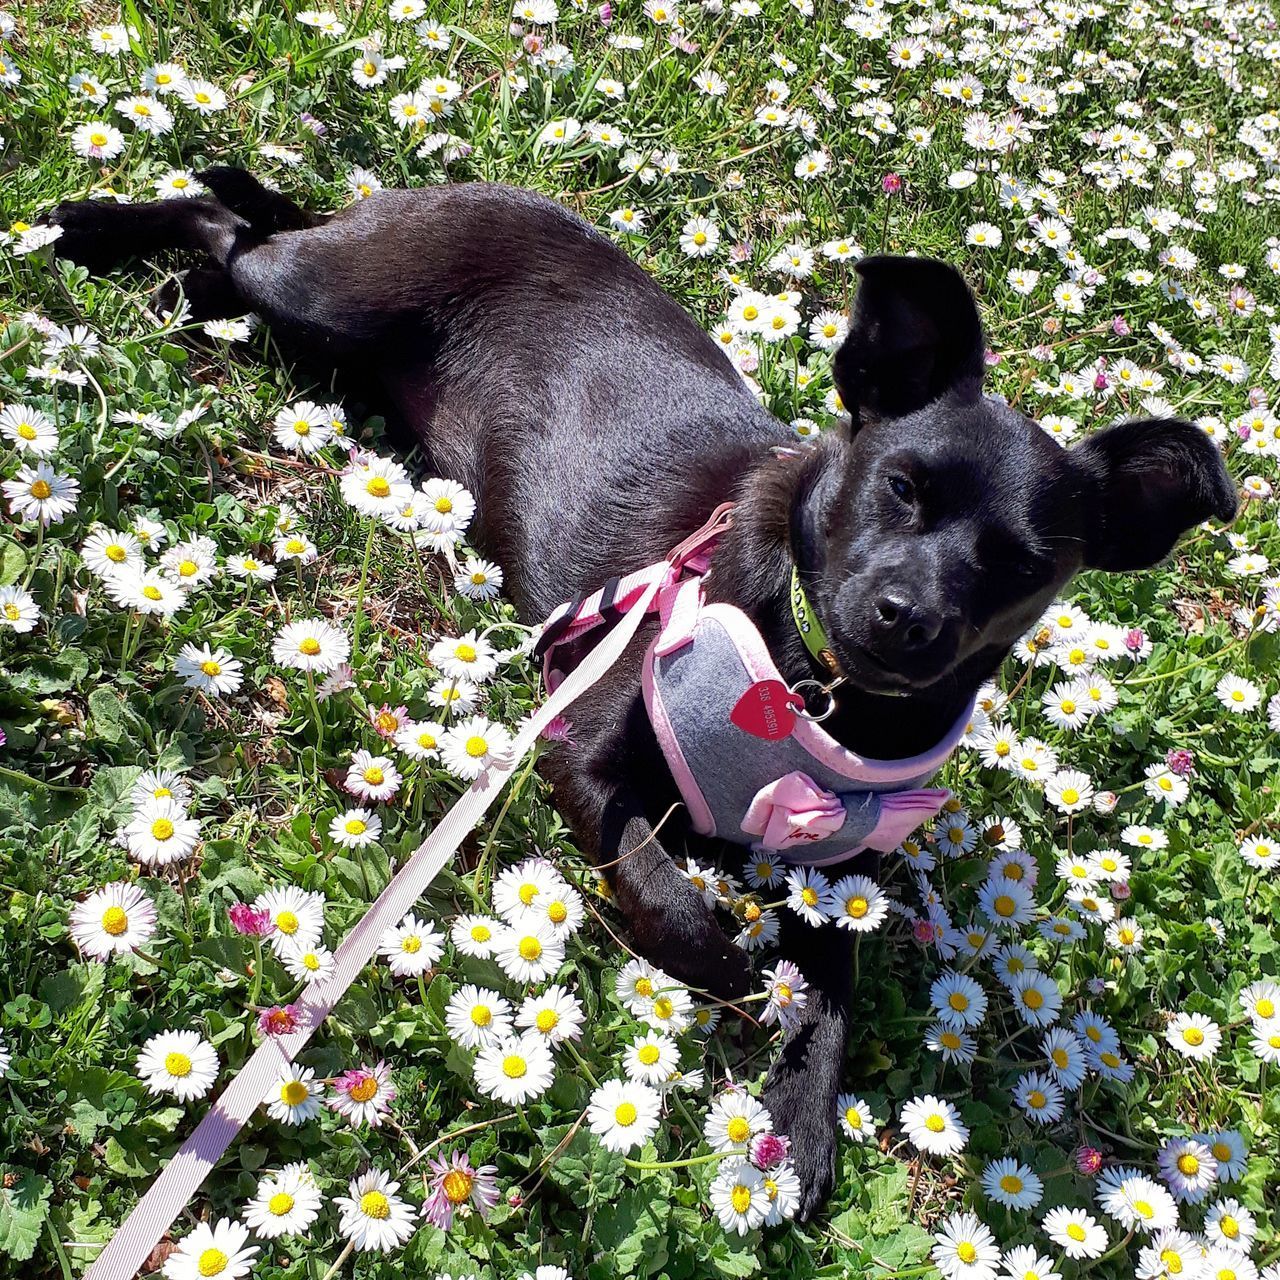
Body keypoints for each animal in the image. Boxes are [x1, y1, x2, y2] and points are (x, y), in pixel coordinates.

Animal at [45, 172, 1233, 1218]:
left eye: (1022, 566)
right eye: (900, 486)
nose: (908, 616)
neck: (815, 688)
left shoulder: (832, 864)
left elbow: (834, 985)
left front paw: (797, 1113)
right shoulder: (577, 743)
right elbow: (663, 887)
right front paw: (725, 960)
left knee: (242, 227)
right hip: (321, 295)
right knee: (229, 223)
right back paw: (91, 229)